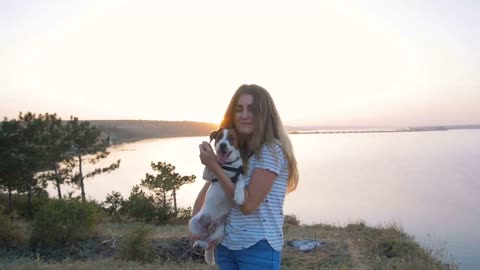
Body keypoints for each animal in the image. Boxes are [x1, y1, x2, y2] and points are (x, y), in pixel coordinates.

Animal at [188, 128, 246, 264]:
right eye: (219, 137)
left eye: (231, 138)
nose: (222, 145)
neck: (227, 165)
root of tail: (211, 226)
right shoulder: (208, 176)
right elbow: (210, 166)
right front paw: (210, 152)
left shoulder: (241, 176)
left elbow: (240, 183)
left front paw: (239, 196)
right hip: (193, 223)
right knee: (204, 236)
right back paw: (199, 243)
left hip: (221, 231)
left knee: (210, 240)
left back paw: (203, 244)